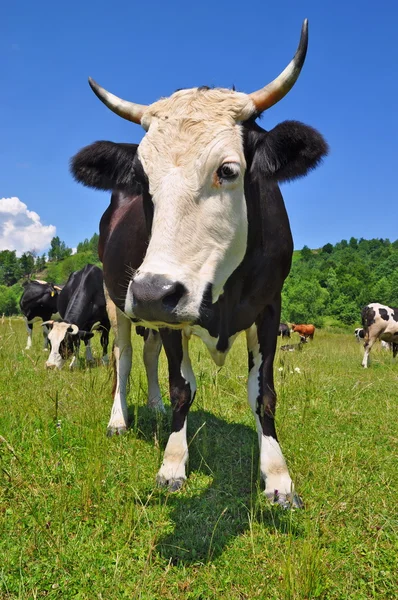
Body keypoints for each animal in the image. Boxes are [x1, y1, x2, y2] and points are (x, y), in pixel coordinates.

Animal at [70, 19, 326, 506]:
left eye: (227, 170)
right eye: (142, 178)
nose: (152, 292)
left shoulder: (270, 307)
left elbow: (263, 392)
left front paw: (279, 477)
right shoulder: (164, 311)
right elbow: (182, 387)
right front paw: (172, 464)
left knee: (148, 354)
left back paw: (151, 406)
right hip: (119, 302)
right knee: (125, 357)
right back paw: (120, 419)